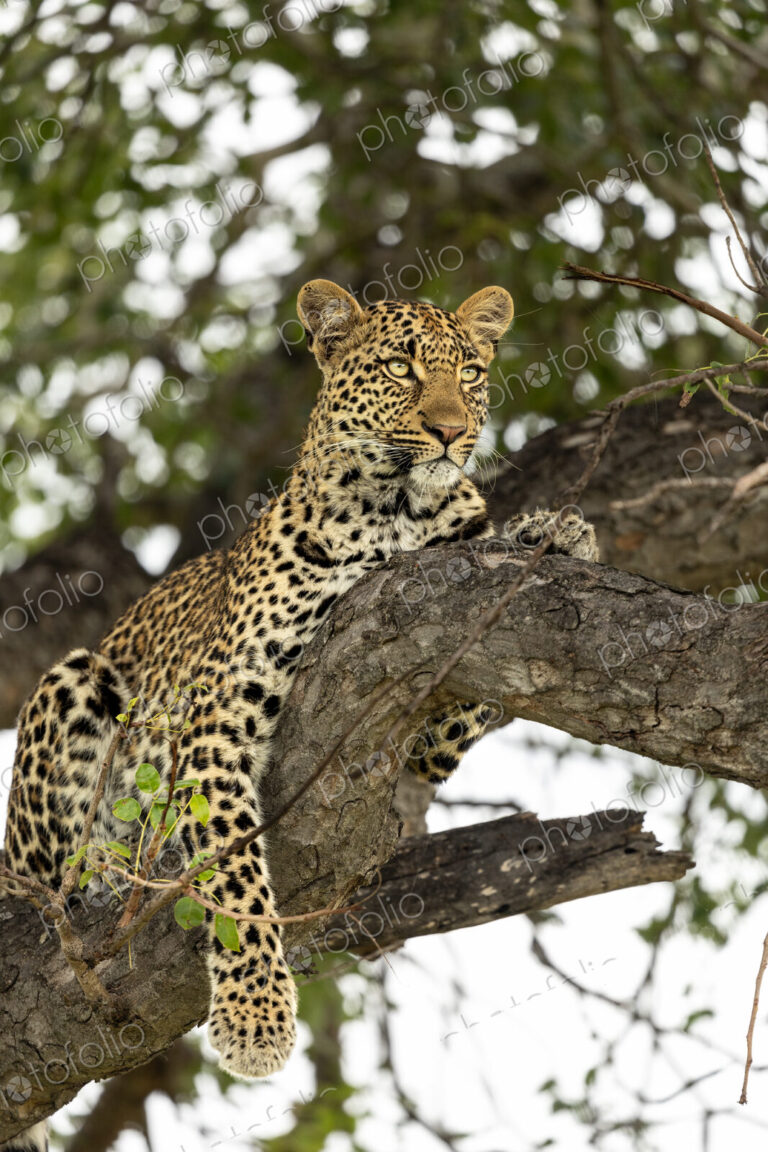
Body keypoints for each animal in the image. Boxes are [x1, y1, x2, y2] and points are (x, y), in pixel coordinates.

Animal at [1, 279, 598, 1152]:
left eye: (472, 371)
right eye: (401, 368)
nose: (451, 431)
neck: (394, 515)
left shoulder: (429, 717)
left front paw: (558, 530)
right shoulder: (216, 719)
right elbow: (237, 885)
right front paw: (256, 1023)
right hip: (78, 683)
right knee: (52, 880)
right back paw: (107, 871)